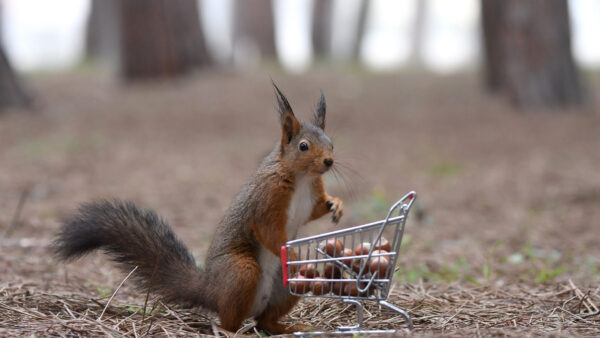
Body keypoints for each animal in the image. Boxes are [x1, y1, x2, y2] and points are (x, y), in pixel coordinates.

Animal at [54, 83, 344, 334]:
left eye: (331, 143)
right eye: (303, 146)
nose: (329, 161)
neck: (303, 177)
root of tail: (209, 290)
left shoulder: (311, 197)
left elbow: (316, 209)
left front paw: (337, 205)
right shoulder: (266, 200)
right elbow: (269, 231)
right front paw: (291, 252)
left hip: (285, 288)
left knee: (265, 320)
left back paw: (287, 326)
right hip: (240, 271)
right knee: (229, 319)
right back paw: (231, 331)